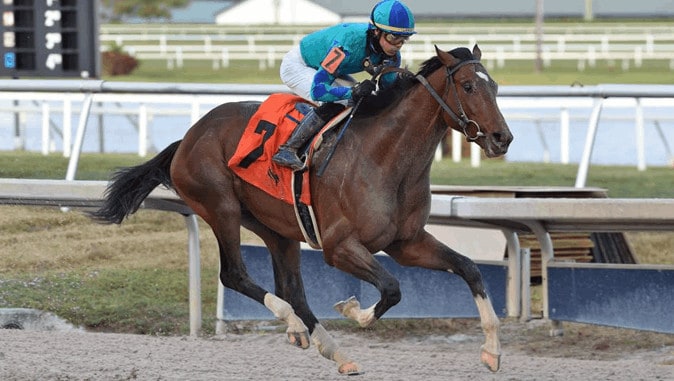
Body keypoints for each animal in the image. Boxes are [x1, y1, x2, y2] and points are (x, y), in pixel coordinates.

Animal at [89, 45, 510, 374]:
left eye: (495, 86)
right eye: (469, 86)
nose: (502, 138)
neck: (385, 158)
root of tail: (189, 136)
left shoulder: (407, 243)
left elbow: (469, 269)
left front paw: (491, 352)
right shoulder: (339, 248)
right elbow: (391, 288)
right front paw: (351, 308)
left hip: (277, 228)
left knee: (292, 290)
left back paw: (335, 352)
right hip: (220, 207)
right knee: (235, 275)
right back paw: (293, 325)